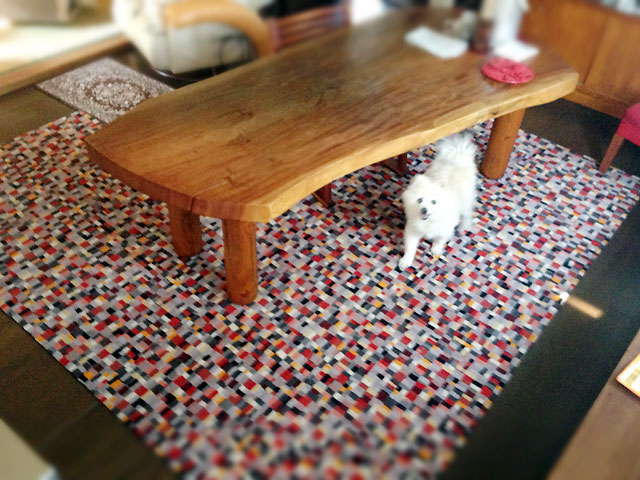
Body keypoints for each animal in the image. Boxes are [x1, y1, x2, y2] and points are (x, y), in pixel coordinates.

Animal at [398, 133, 478, 269]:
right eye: (420, 200)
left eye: (434, 202)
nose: (424, 209)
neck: (430, 221)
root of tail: (459, 153)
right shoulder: (413, 229)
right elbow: (410, 247)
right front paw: (406, 261)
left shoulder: (446, 227)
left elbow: (440, 239)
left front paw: (436, 249)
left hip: (466, 199)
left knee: (467, 213)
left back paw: (464, 225)